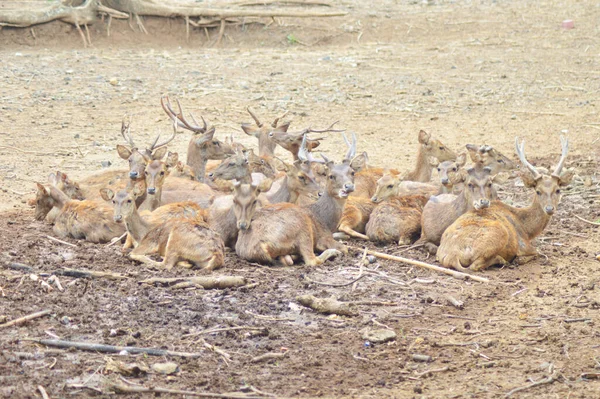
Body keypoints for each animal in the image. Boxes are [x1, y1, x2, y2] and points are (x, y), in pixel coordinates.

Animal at [233, 134, 356, 266]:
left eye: (352, 172)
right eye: (331, 176)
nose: (348, 187)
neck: (326, 220)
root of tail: (258, 247)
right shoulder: (324, 237)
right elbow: (343, 248)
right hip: (303, 227)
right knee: (311, 260)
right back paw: (332, 252)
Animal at [436, 137, 572, 272]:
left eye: (558, 190)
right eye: (538, 191)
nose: (549, 208)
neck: (527, 229)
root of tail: (452, 256)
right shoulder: (524, 245)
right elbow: (536, 251)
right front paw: (518, 259)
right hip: (499, 233)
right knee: (475, 265)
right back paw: (501, 260)